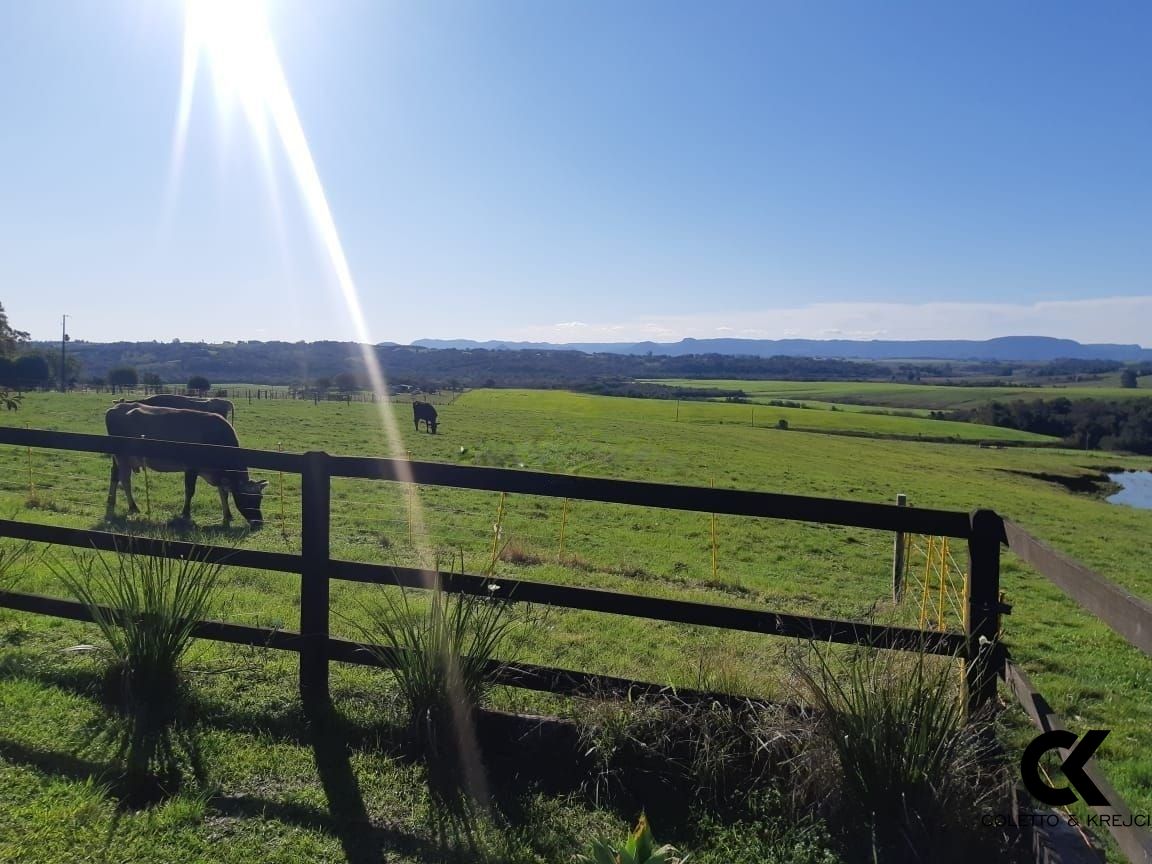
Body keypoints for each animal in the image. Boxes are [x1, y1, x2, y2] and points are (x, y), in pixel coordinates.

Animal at [103, 403, 264, 525]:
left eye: (260, 498)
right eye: (248, 498)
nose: (258, 522)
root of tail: (116, 407)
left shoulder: (218, 473)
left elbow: (223, 492)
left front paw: (228, 515)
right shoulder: (191, 468)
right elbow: (190, 491)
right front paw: (186, 513)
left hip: (118, 458)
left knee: (114, 475)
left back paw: (111, 500)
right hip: (122, 455)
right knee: (125, 479)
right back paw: (133, 506)